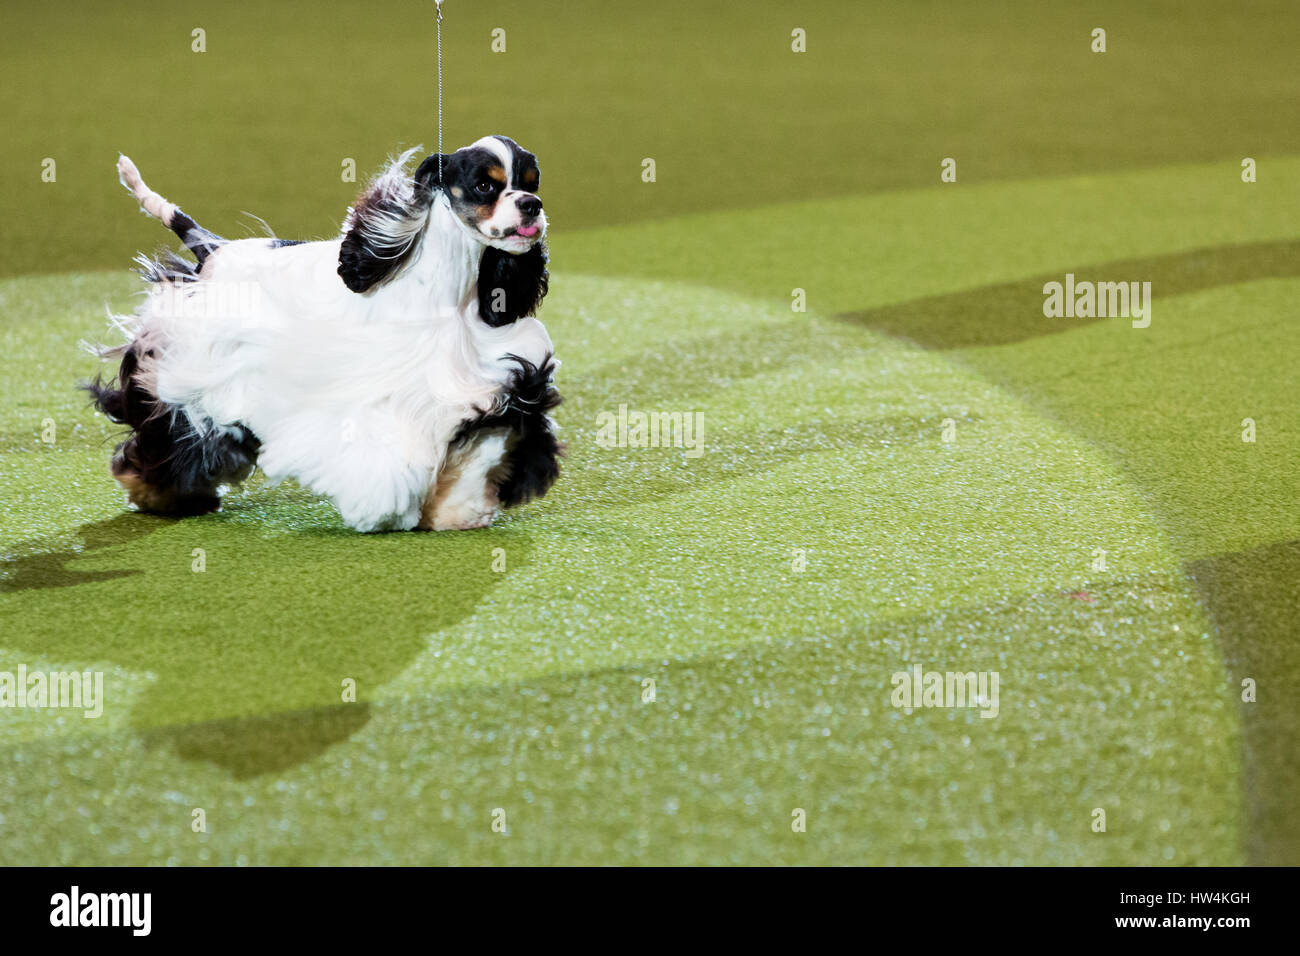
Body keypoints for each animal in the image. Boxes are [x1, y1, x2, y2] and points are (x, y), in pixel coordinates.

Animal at [83, 136, 561, 530]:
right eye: (485, 186)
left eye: (532, 182)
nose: (532, 205)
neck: (449, 292)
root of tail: (214, 248)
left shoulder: (493, 383)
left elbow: (486, 442)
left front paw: (461, 510)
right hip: (187, 364)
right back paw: (150, 490)